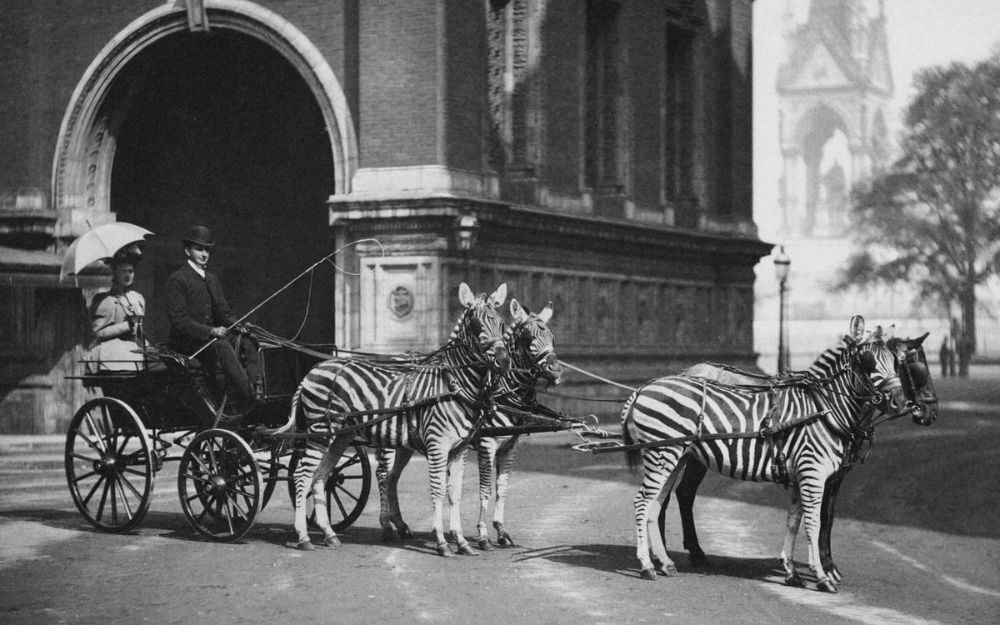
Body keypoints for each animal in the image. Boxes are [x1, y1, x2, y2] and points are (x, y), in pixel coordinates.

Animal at [278, 282, 512, 552]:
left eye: (502, 324)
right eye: (476, 325)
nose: (503, 361)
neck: (454, 383)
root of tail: (314, 370)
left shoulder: (459, 449)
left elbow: (455, 493)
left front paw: (462, 542)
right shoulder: (437, 445)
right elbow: (437, 491)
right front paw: (442, 541)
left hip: (340, 436)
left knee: (320, 476)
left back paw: (329, 534)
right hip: (320, 432)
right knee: (302, 476)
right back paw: (304, 537)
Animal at [470, 298, 564, 544]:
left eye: (552, 338)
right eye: (529, 338)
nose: (556, 371)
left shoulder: (510, 446)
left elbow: (502, 487)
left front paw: (501, 530)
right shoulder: (487, 445)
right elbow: (485, 487)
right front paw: (483, 533)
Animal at [616, 316, 908, 588]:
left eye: (896, 362)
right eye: (867, 362)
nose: (900, 403)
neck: (824, 408)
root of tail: (644, 387)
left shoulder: (803, 475)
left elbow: (794, 521)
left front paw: (791, 571)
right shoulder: (814, 473)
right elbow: (815, 523)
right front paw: (823, 576)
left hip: (676, 456)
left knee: (656, 504)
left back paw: (666, 562)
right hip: (663, 454)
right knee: (643, 502)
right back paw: (648, 566)